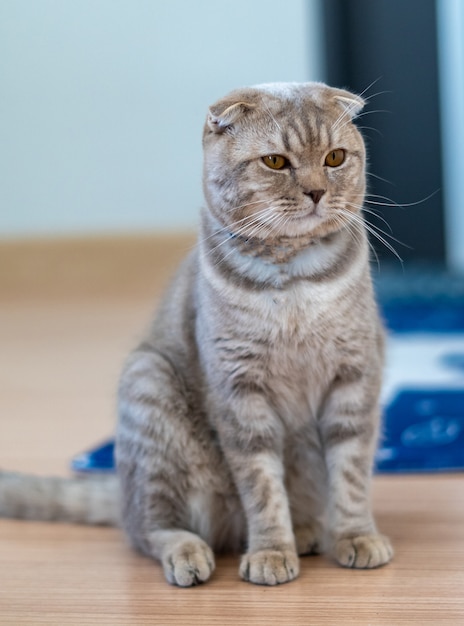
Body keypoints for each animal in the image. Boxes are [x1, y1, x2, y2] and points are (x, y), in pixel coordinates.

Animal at [0, 81, 394, 584]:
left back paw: (306, 532)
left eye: (335, 157)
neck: (292, 280)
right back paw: (189, 553)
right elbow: (263, 487)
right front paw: (270, 552)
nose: (316, 192)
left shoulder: (354, 377)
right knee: (149, 529)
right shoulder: (240, 391)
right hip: (149, 390)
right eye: (275, 162)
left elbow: (351, 475)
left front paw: (356, 538)